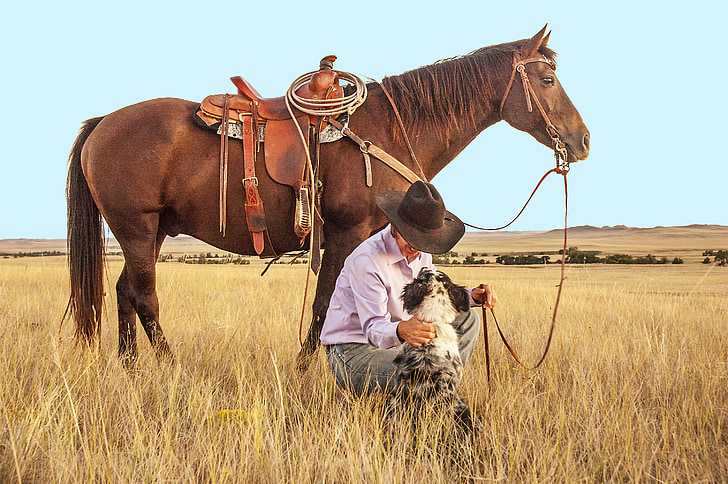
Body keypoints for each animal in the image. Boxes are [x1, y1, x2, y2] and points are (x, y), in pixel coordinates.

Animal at [67, 25, 592, 370]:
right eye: (547, 80)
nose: (583, 140)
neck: (388, 129)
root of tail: (103, 122)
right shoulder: (345, 233)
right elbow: (325, 303)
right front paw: (306, 367)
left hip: (150, 232)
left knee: (125, 291)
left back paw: (131, 367)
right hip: (137, 227)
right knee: (145, 295)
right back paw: (167, 363)